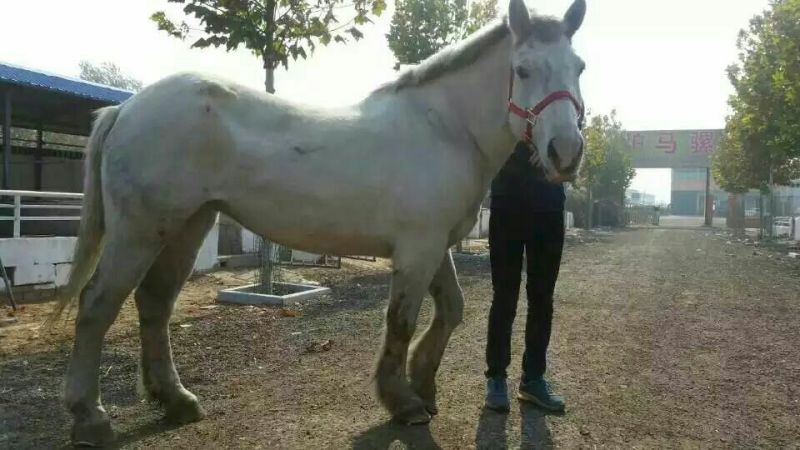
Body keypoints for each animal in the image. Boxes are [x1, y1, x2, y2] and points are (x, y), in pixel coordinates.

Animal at [50, 0, 587, 445]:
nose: (565, 153)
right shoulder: (418, 251)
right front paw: (404, 402)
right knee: (97, 304)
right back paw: (90, 417)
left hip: (186, 226)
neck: (445, 128)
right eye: (522, 69)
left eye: (579, 67)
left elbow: (451, 311)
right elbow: (402, 321)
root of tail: (126, 108)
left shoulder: (436, 247)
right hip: (140, 230)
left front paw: (424, 386)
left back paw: (176, 401)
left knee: (155, 304)